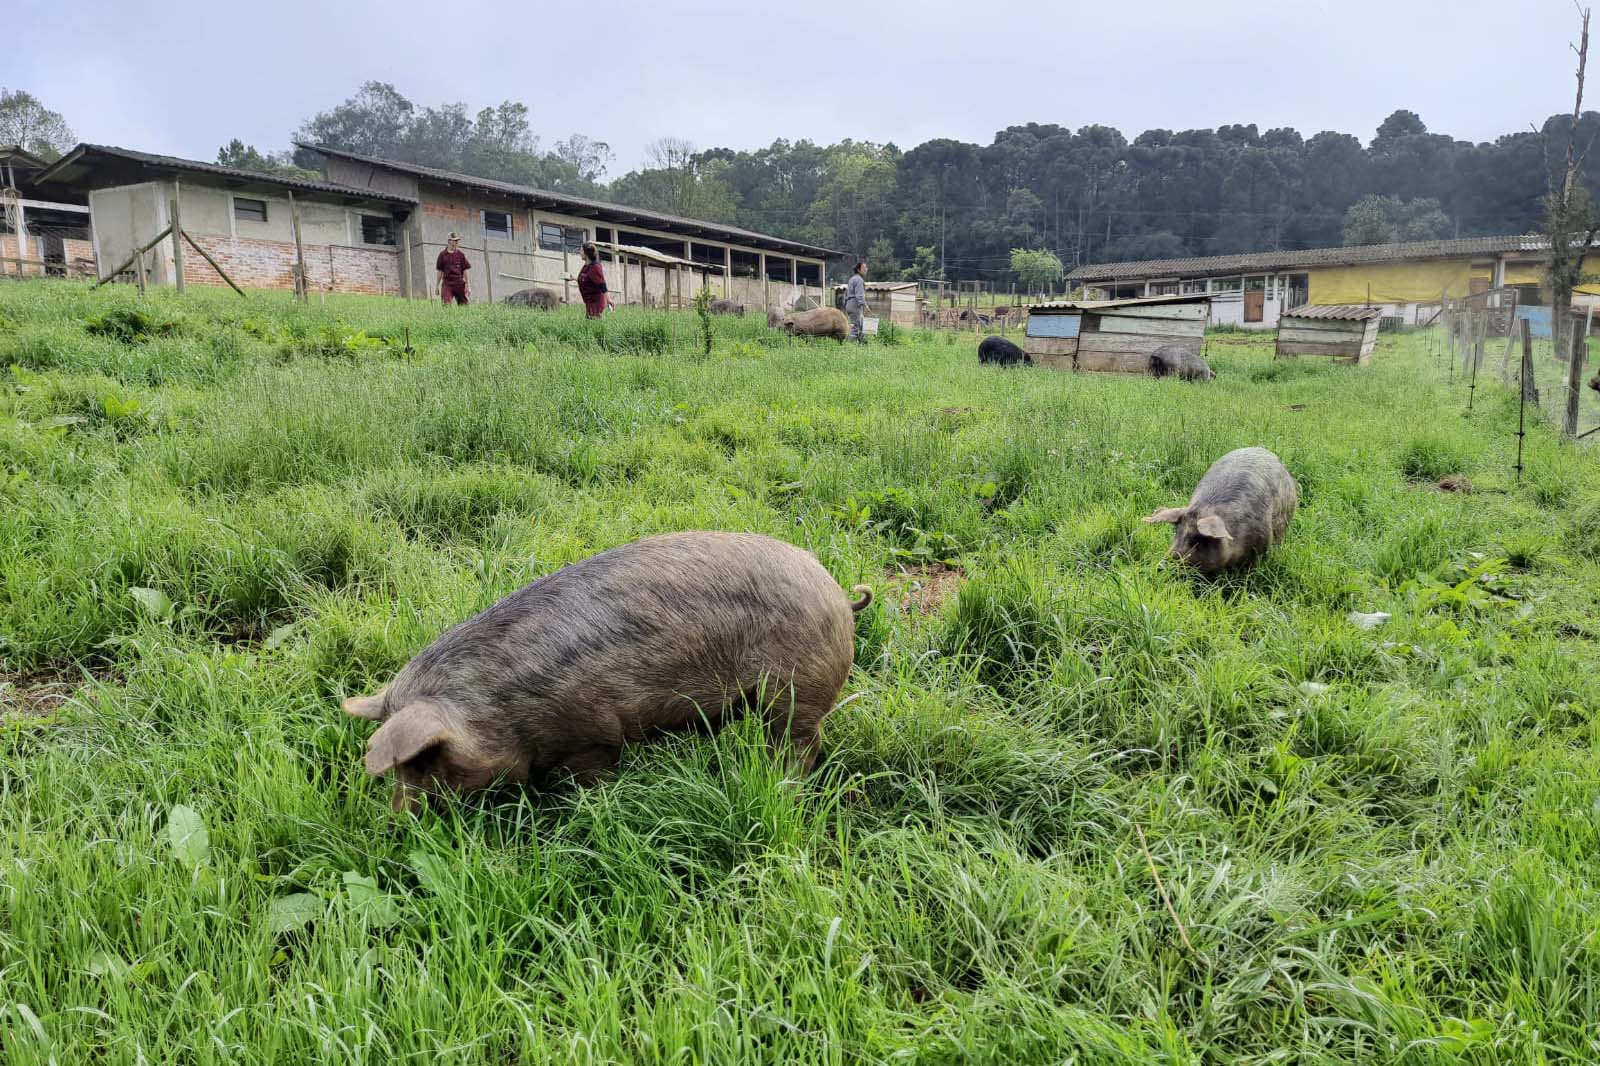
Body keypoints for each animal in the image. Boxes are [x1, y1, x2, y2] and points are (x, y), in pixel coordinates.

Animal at [343, 532, 874, 813]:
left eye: (425, 761)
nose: (396, 822)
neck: (501, 706)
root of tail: (836, 590)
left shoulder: (593, 735)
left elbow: (593, 777)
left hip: (798, 688)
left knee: (801, 744)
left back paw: (784, 790)